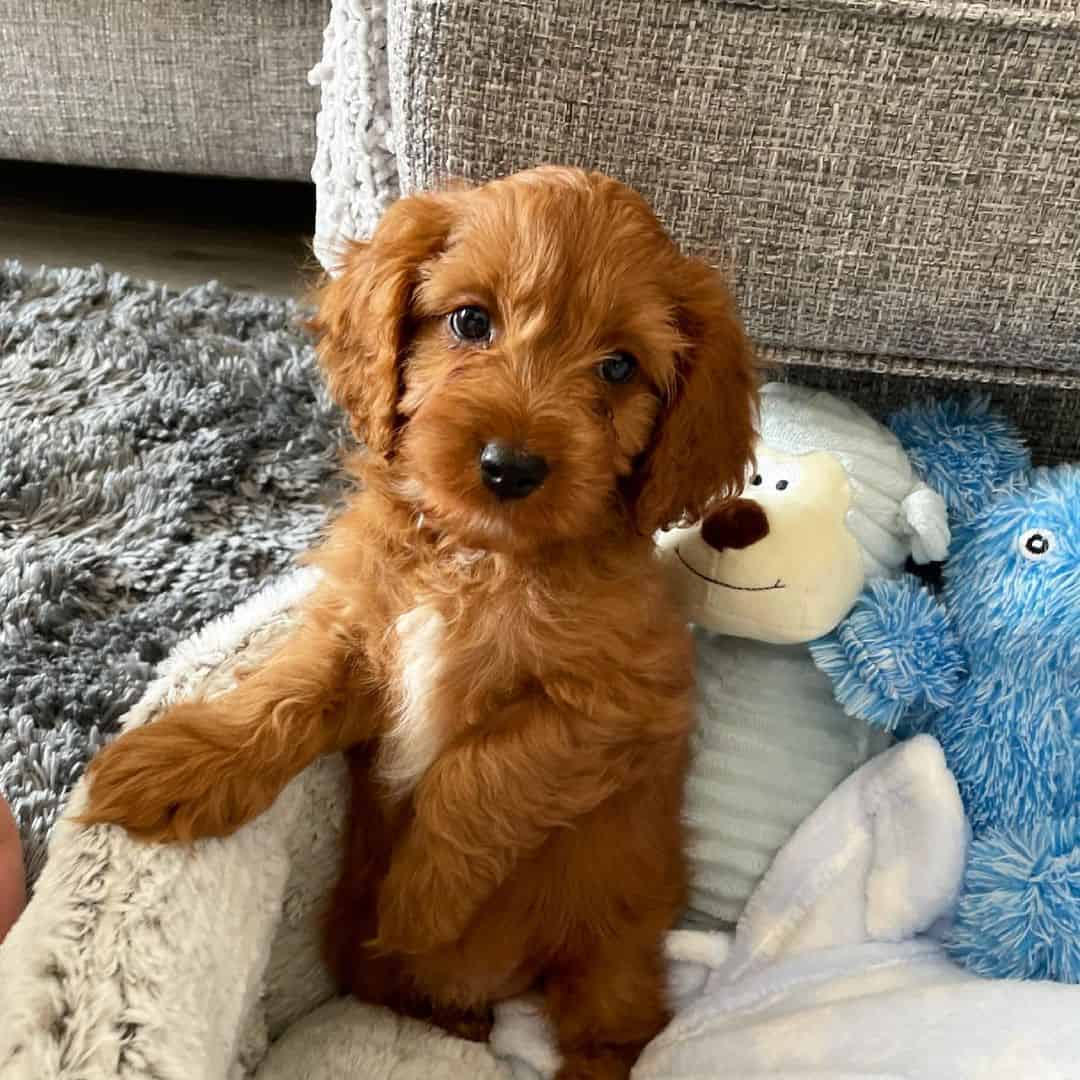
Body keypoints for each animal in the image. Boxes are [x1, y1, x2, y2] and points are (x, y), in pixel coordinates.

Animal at [84, 168, 756, 1080]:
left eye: (619, 367)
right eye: (471, 321)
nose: (510, 467)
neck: (477, 559)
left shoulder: (619, 706)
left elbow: (481, 770)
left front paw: (420, 903)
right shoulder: (361, 636)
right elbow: (285, 693)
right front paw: (182, 763)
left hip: (613, 945)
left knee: (614, 1029)